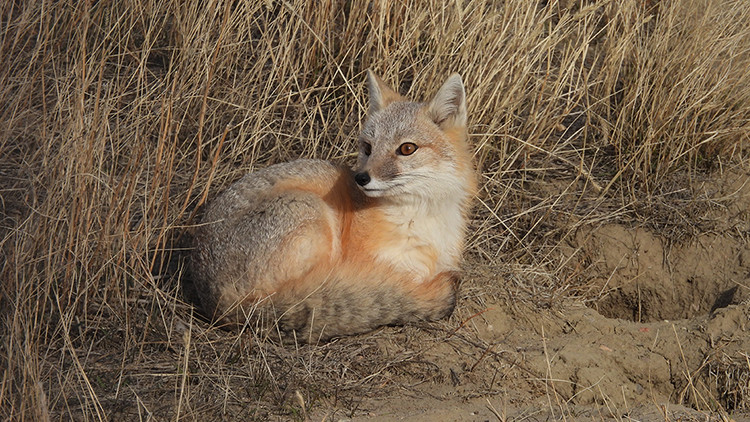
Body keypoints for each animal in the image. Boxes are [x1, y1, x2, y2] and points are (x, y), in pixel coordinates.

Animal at [190, 71, 476, 342]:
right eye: (368, 148)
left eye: (407, 149)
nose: (361, 178)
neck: (422, 219)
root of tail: (218, 300)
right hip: (314, 214)